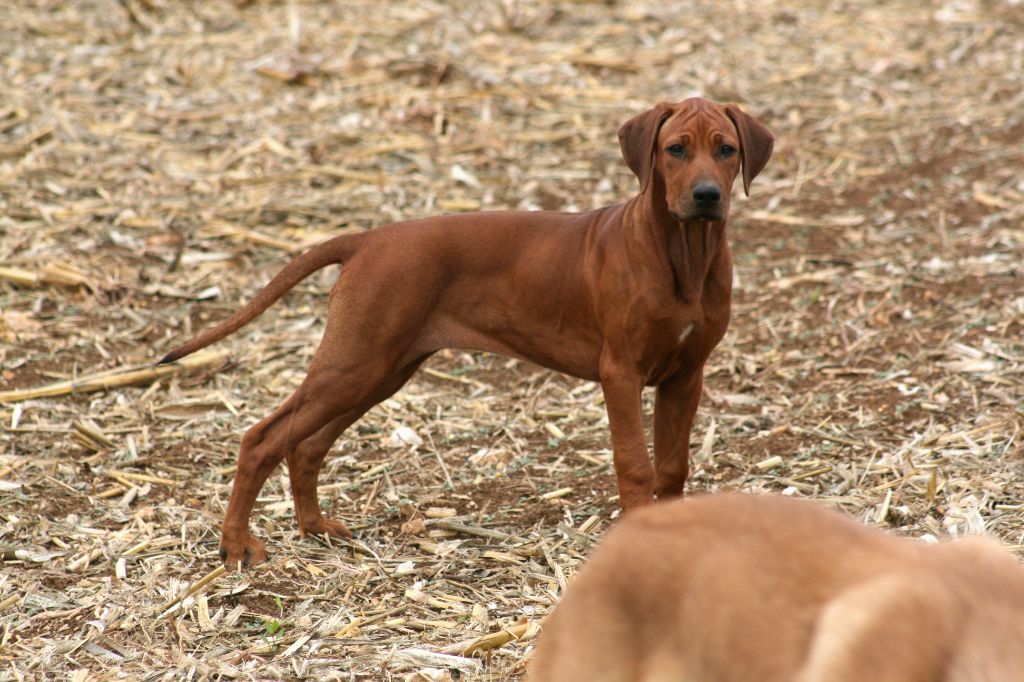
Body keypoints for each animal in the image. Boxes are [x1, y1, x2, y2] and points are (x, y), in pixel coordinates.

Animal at [159, 95, 770, 561]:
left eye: (726, 150)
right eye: (675, 150)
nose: (708, 196)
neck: (682, 254)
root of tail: (367, 239)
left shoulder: (685, 375)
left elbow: (673, 466)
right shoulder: (620, 372)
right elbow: (636, 465)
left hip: (380, 370)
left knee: (305, 445)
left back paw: (314, 528)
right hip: (357, 363)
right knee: (261, 439)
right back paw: (237, 545)